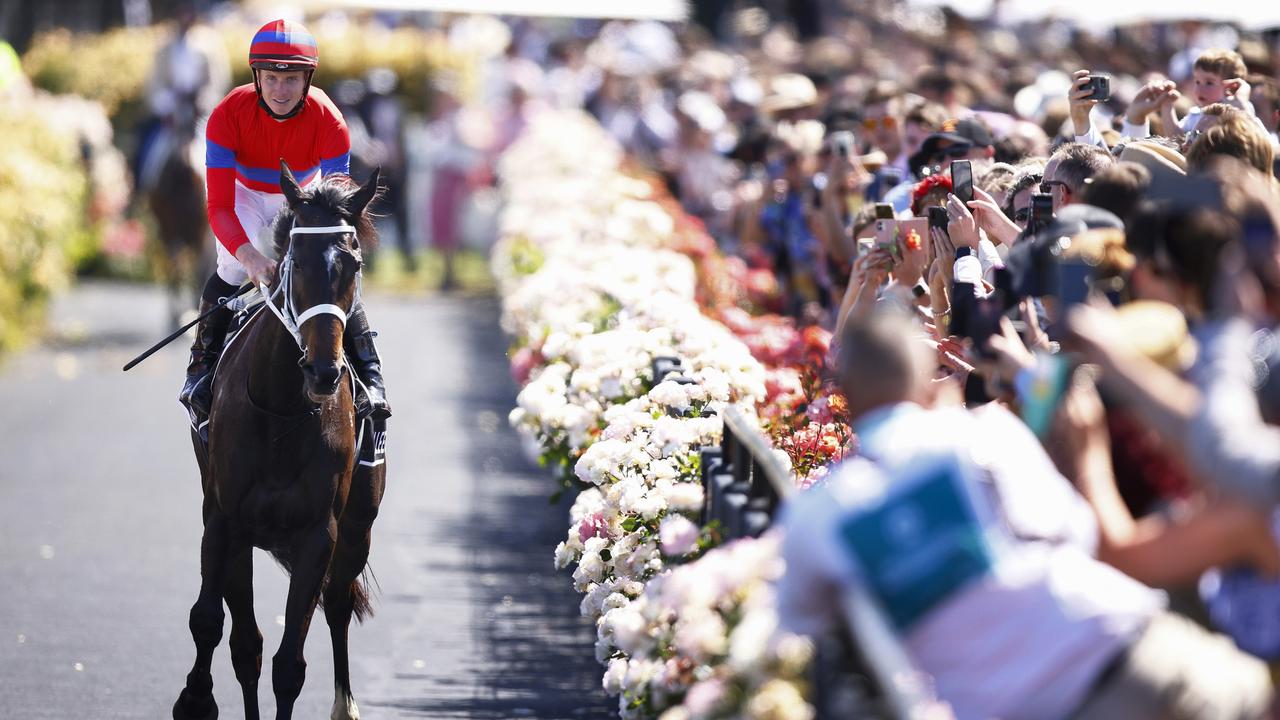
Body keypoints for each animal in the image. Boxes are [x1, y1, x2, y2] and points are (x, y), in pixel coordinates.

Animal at [174, 162, 384, 717]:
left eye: (353, 265)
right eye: (297, 262)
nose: (324, 372)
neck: (281, 411)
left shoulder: (319, 532)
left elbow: (290, 663)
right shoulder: (223, 518)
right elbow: (215, 624)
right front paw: (195, 699)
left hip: (358, 526)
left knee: (337, 605)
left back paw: (345, 705)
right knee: (244, 642)